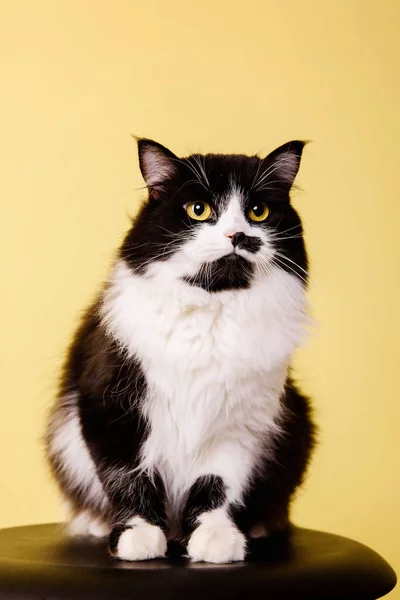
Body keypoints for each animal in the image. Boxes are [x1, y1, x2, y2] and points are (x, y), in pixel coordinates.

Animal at [44, 138, 316, 564]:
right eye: (198, 210)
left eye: (258, 212)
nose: (237, 235)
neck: (210, 312)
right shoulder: (110, 407)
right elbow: (128, 479)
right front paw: (138, 537)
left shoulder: (240, 424)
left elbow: (217, 486)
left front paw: (215, 538)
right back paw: (96, 524)